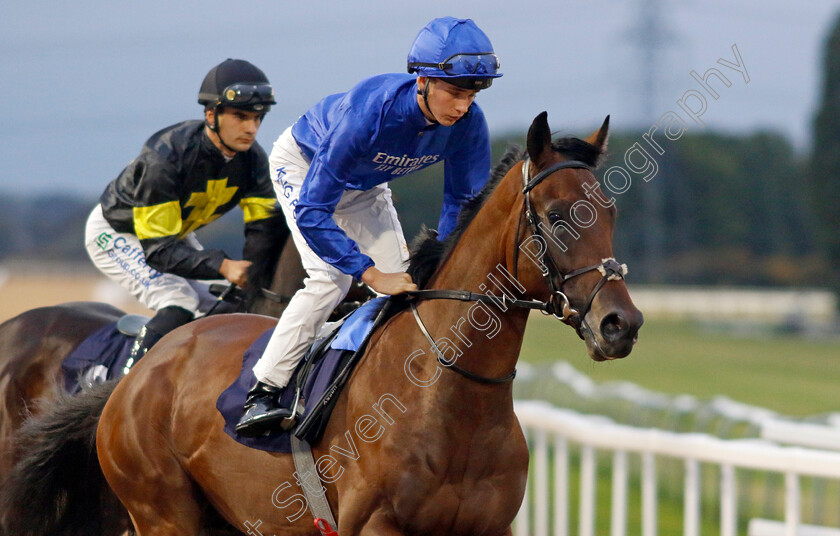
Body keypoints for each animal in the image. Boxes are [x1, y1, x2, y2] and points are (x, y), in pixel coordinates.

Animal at [1, 111, 644, 532]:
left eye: (612, 211)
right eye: (557, 216)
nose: (622, 323)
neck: (450, 392)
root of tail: (136, 377)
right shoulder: (376, 526)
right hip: (161, 511)